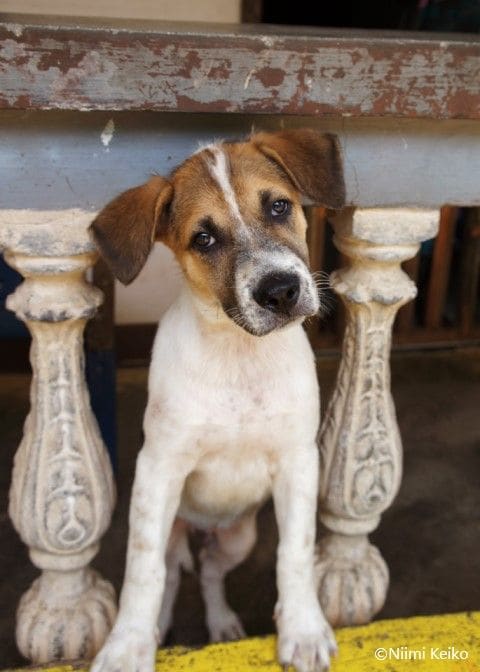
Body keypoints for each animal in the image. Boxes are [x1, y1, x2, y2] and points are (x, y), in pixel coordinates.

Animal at [89, 128, 345, 672]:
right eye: (203, 239)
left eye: (278, 206)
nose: (281, 291)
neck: (239, 354)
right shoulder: (158, 470)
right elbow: (142, 572)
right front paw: (127, 647)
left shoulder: (299, 461)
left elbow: (296, 551)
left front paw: (303, 628)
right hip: (174, 525)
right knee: (170, 572)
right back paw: (161, 627)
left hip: (237, 537)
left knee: (208, 569)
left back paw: (223, 622)